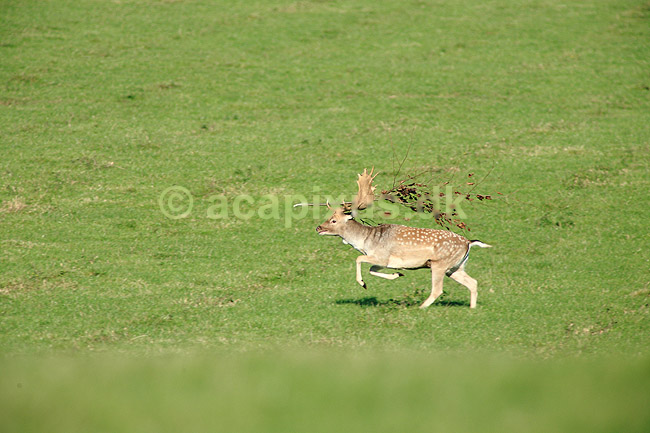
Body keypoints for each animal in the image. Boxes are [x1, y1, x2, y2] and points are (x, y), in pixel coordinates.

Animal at [315, 168, 491, 309]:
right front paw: (397, 274)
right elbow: (372, 270)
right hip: (455, 267)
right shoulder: (383, 261)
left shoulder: (382, 256)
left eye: (333, 220)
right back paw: (472, 309)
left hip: (440, 264)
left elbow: (359, 259)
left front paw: (362, 283)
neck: (366, 241)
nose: (318, 228)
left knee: (438, 289)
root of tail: (468, 242)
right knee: (473, 282)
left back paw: (421, 307)